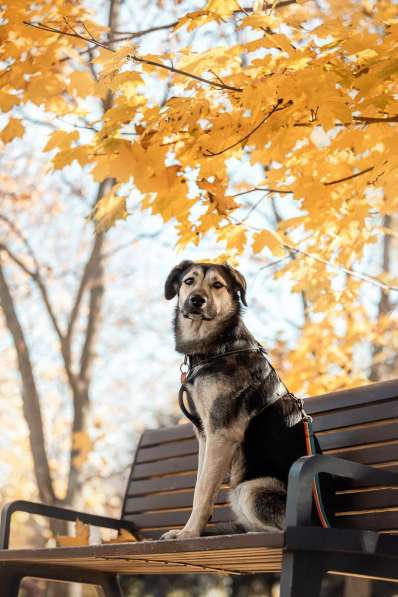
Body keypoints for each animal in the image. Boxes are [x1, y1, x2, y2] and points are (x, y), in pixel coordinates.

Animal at [160, 260, 332, 540]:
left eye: (217, 285)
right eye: (188, 281)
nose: (196, 300)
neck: (218, 349)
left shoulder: (221, 434)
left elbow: (203, 491)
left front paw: (189, 533)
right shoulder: (205, 435)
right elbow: (199, 484)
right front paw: (194, 529)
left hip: (249, 489)